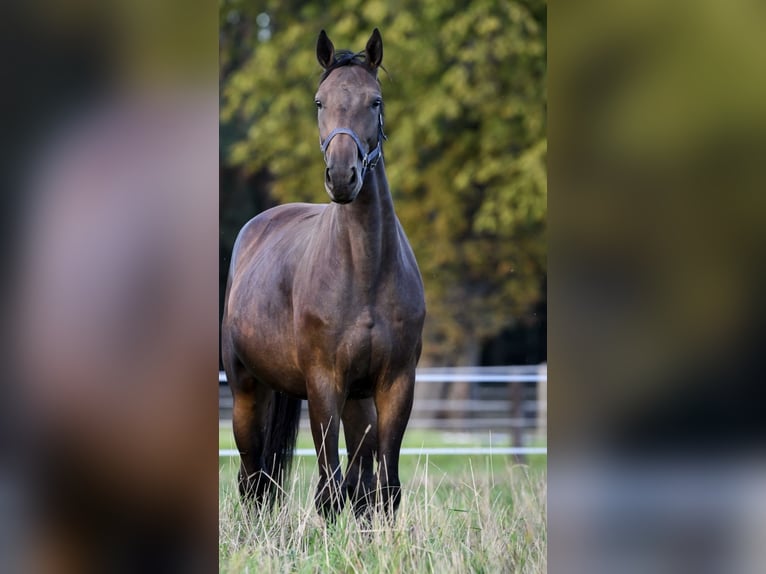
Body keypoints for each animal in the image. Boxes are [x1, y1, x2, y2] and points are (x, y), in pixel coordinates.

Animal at [220, 28, 426, 520]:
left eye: (375, 101)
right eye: (320, 101)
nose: (342, 175)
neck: (364, 271)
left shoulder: (395, 384)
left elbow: (382, 489)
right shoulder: (323, 384)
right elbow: (328, 490)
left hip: (358, 401)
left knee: (357, 479)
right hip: (247, 392)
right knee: (252, 477)